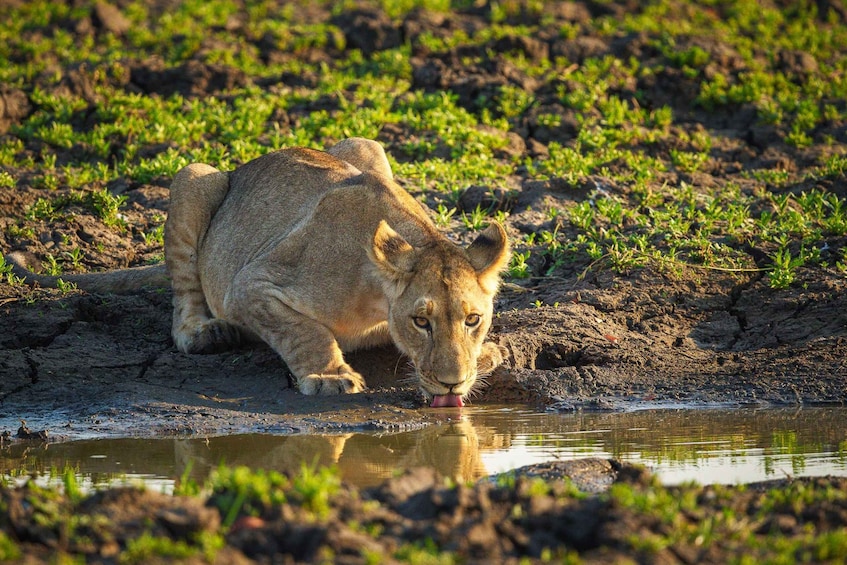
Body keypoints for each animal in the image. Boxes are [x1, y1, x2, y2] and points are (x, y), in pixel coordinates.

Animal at [6, 138, 511, 407]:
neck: (377, 301)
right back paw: (206, 333)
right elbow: (305, 331)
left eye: (473, 319)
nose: (452, 382)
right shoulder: (250, 285)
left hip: (364, 145)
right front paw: (329, 377)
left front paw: (485, 356)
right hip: (195, 177)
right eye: (420, 321)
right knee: (183, 298)